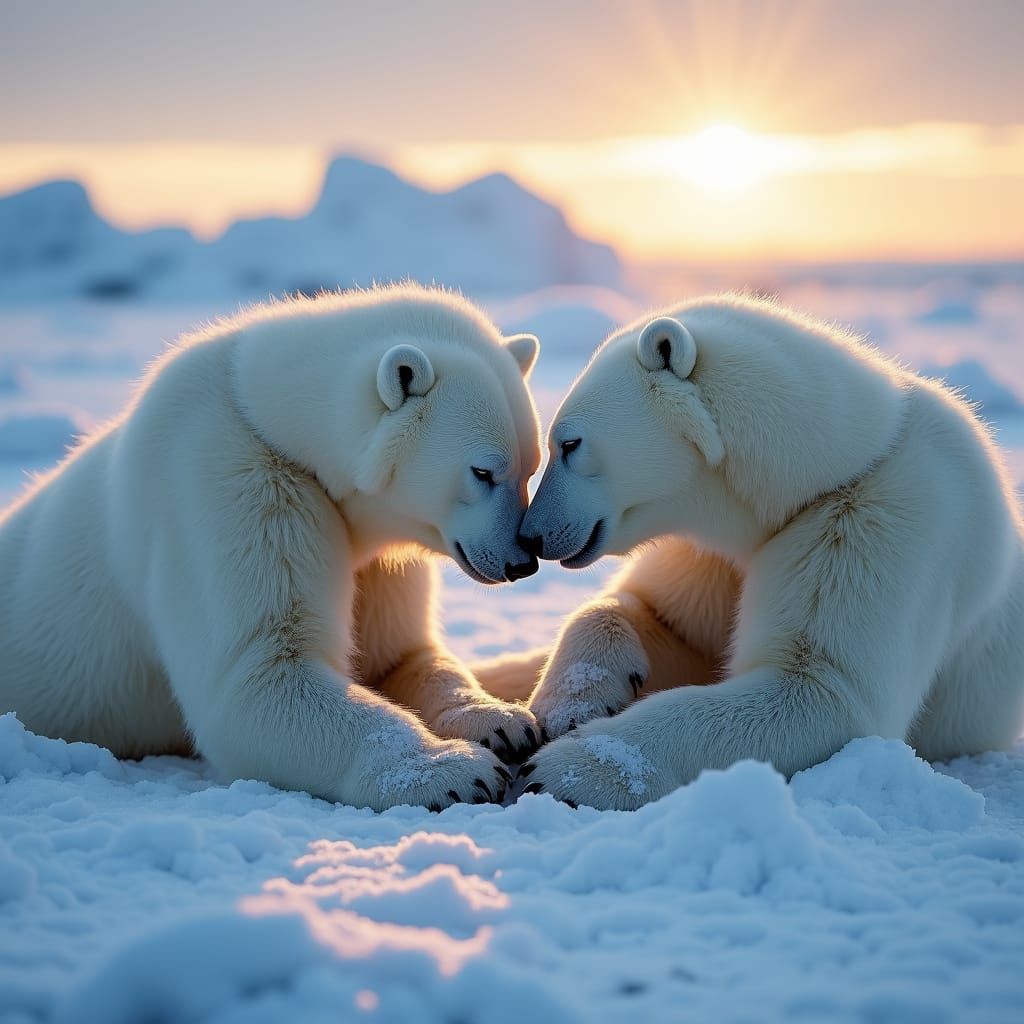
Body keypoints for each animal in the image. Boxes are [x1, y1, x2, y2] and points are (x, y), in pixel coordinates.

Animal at [0, 285, 546, 810]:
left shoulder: (375, 558)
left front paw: (501, 721)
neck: (267, 412)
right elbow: (259, 678)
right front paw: (457, 771)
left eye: (531, 466)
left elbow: (400, 655)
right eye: (482, 471)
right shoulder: (225, 484)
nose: (522, 561)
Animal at [513, 294, 1024, 810]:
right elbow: (664, 618)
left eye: (569, 443)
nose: (531, 536)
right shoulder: (709, 557)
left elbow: (822, 688)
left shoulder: (876, 527)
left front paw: (564, 771)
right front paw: (571, 704)